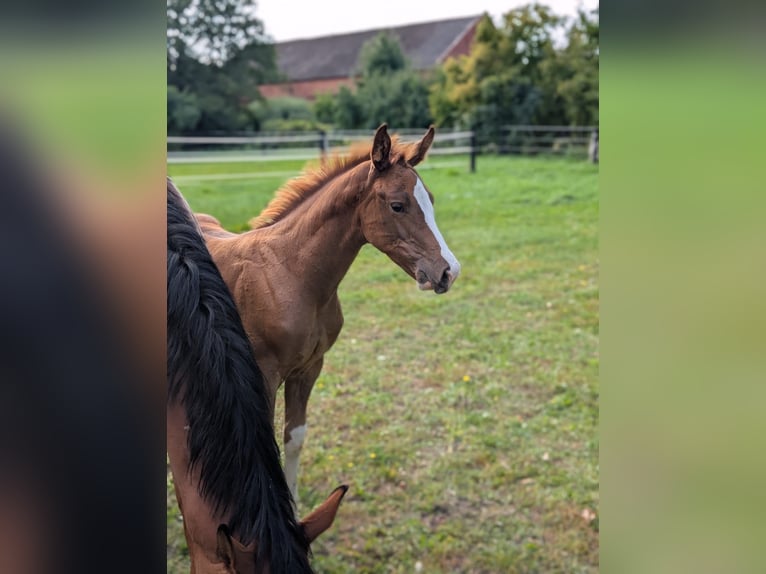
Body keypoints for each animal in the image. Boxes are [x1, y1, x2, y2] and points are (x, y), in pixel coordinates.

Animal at [196, 124, 461, 507]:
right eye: (398, 205)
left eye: (432, 200)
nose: (448, 272)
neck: (292, 273)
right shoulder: (264, 374)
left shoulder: (309, 367)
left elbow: (294, 438)